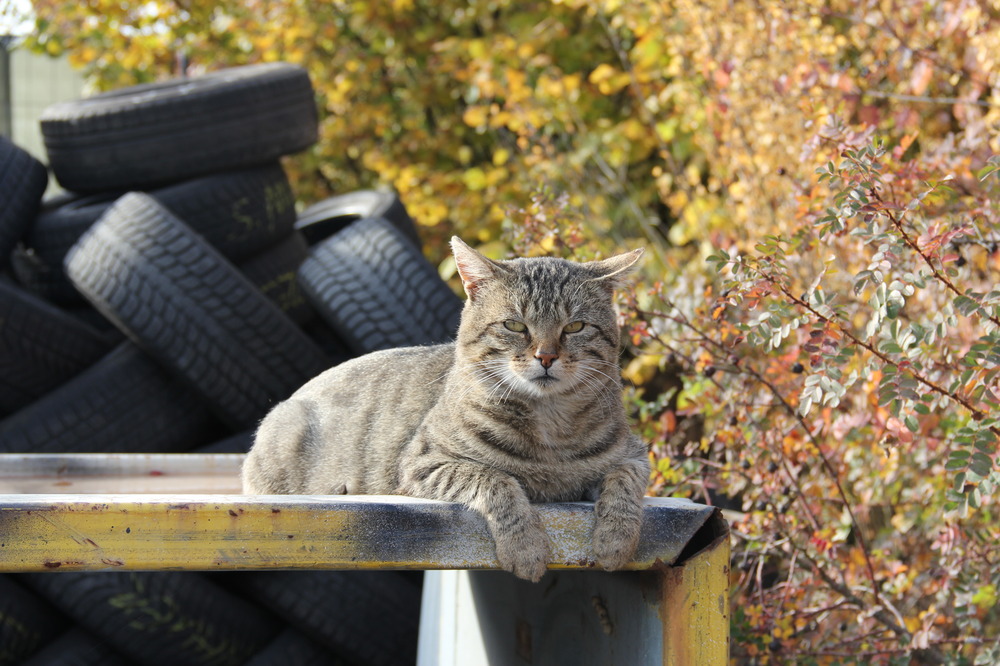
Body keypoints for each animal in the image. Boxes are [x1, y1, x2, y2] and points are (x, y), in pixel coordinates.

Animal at [242, 236, 648, 580]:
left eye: (575, 326)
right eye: (515, 325)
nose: (546, 357)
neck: (549, 422)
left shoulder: (634, 454)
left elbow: (626, 481)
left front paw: (615, 540)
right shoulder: (423, 463)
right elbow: (496, 479)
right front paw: (525, 547)